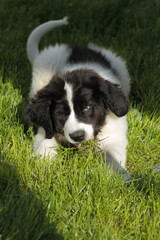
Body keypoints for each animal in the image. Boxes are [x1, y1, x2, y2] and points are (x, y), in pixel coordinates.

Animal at [25, 17, 131, 179]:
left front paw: (120, 176)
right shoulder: (46, 129)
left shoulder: (114, 136)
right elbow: (45, 145)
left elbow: (113, 157)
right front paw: (43, 170)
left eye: (87, 107)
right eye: (60, 114)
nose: (78, 136)